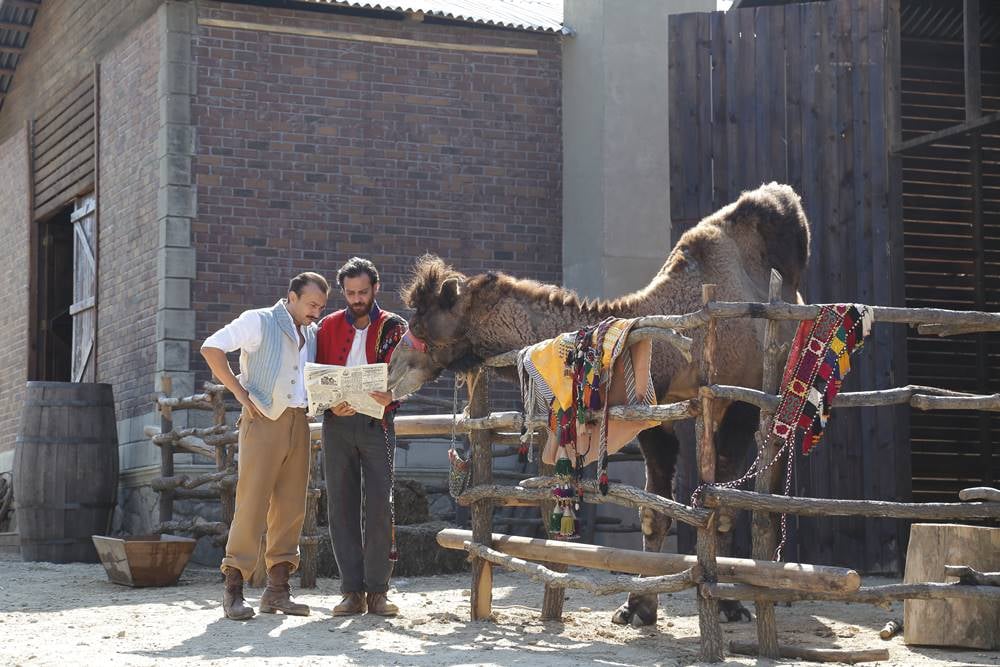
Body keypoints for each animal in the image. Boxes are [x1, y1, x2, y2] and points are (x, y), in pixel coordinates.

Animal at [386, 181, 808, 628]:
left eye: (420, 328)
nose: (390, 371)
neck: (679, 340)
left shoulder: (741, 397)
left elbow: (723, 503)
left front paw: (727, 604)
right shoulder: (655, 411)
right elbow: (654, 510)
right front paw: (637, 607)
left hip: (774, 396)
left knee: (770, 484)